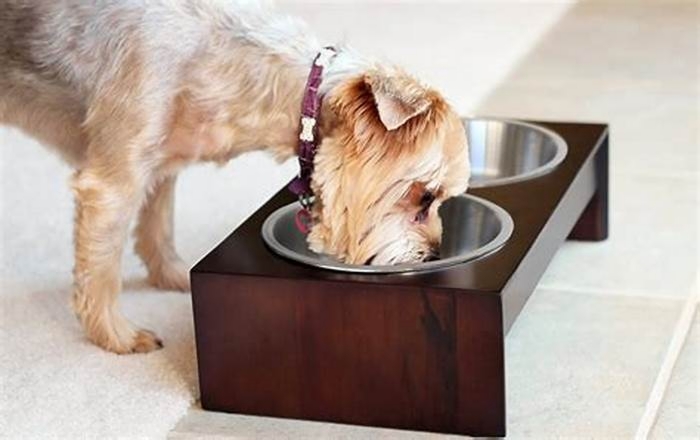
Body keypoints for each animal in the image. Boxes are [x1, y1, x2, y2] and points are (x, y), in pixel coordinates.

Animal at [1, 0, 470, 354]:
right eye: (425, 198)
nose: (435, 254)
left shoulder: (161, 163)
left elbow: (157, 224)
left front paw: (173, 275)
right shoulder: (113, 182)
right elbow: (100, 268)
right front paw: (117, 336)